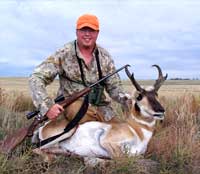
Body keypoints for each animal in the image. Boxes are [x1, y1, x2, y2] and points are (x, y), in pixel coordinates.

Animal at [32, 64, 167, 161]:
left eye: (156, 94)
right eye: (139, 97)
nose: (161, 110)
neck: (136, 130)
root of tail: (43, 126)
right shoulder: (107, 141)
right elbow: (121, 157)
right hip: (70, 130)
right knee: (36, 149)